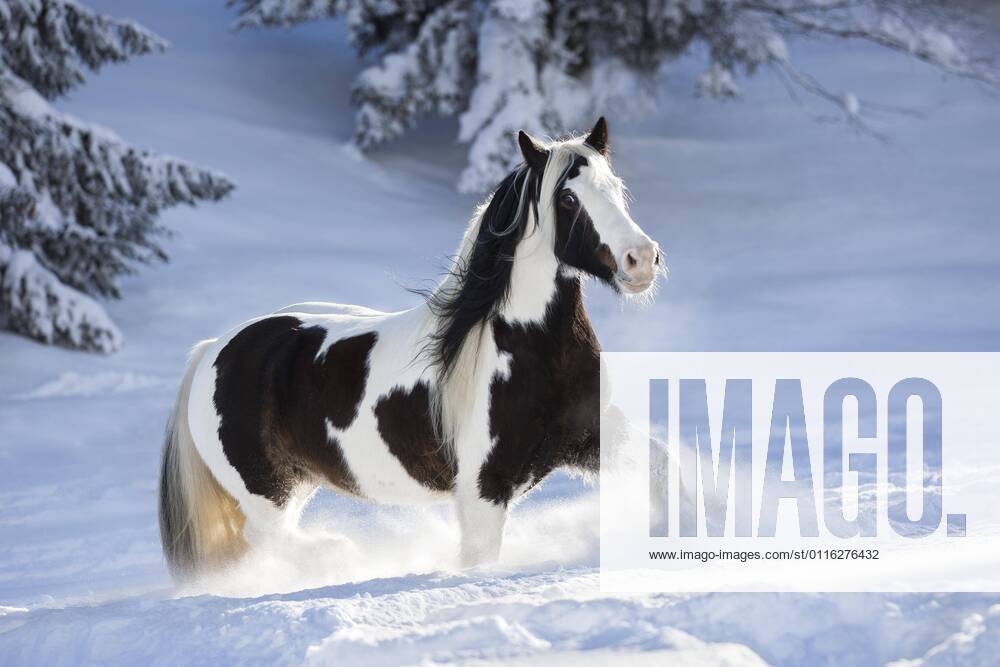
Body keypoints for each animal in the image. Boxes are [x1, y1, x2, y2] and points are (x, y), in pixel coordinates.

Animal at [159, 118, 664, 578]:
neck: (531, 347)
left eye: (615, 188)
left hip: (294, 482)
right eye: (568, 198)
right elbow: (479, 562)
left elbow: (661, 464)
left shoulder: (589, 434)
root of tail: (212, 350)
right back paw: (340, 556)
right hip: (265, 487)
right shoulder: (483, 486)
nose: (641, 259)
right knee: (264, 535)